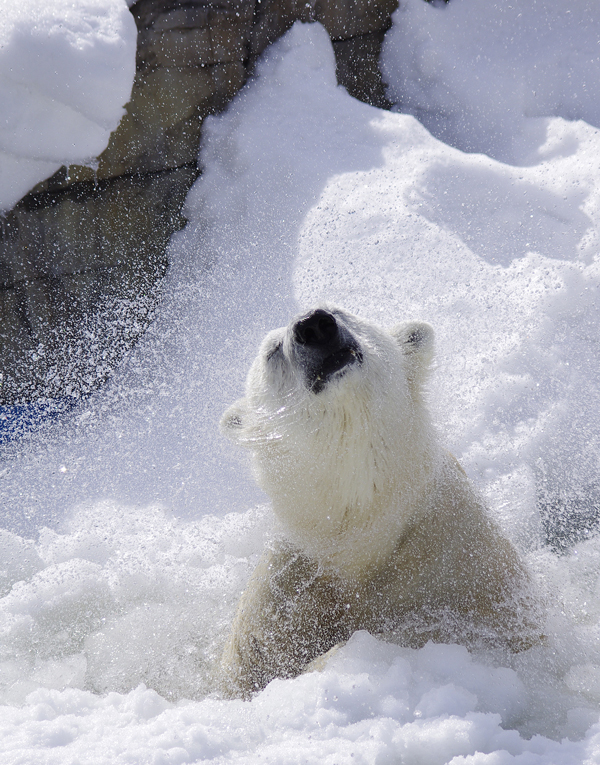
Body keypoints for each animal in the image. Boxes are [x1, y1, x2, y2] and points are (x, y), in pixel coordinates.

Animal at [218, 306, 540, 700]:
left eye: (339, 309)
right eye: (273, 351)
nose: (314, 325)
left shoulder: (458, 559)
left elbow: (485, 630)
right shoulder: (287, 589)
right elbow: (248, 668)